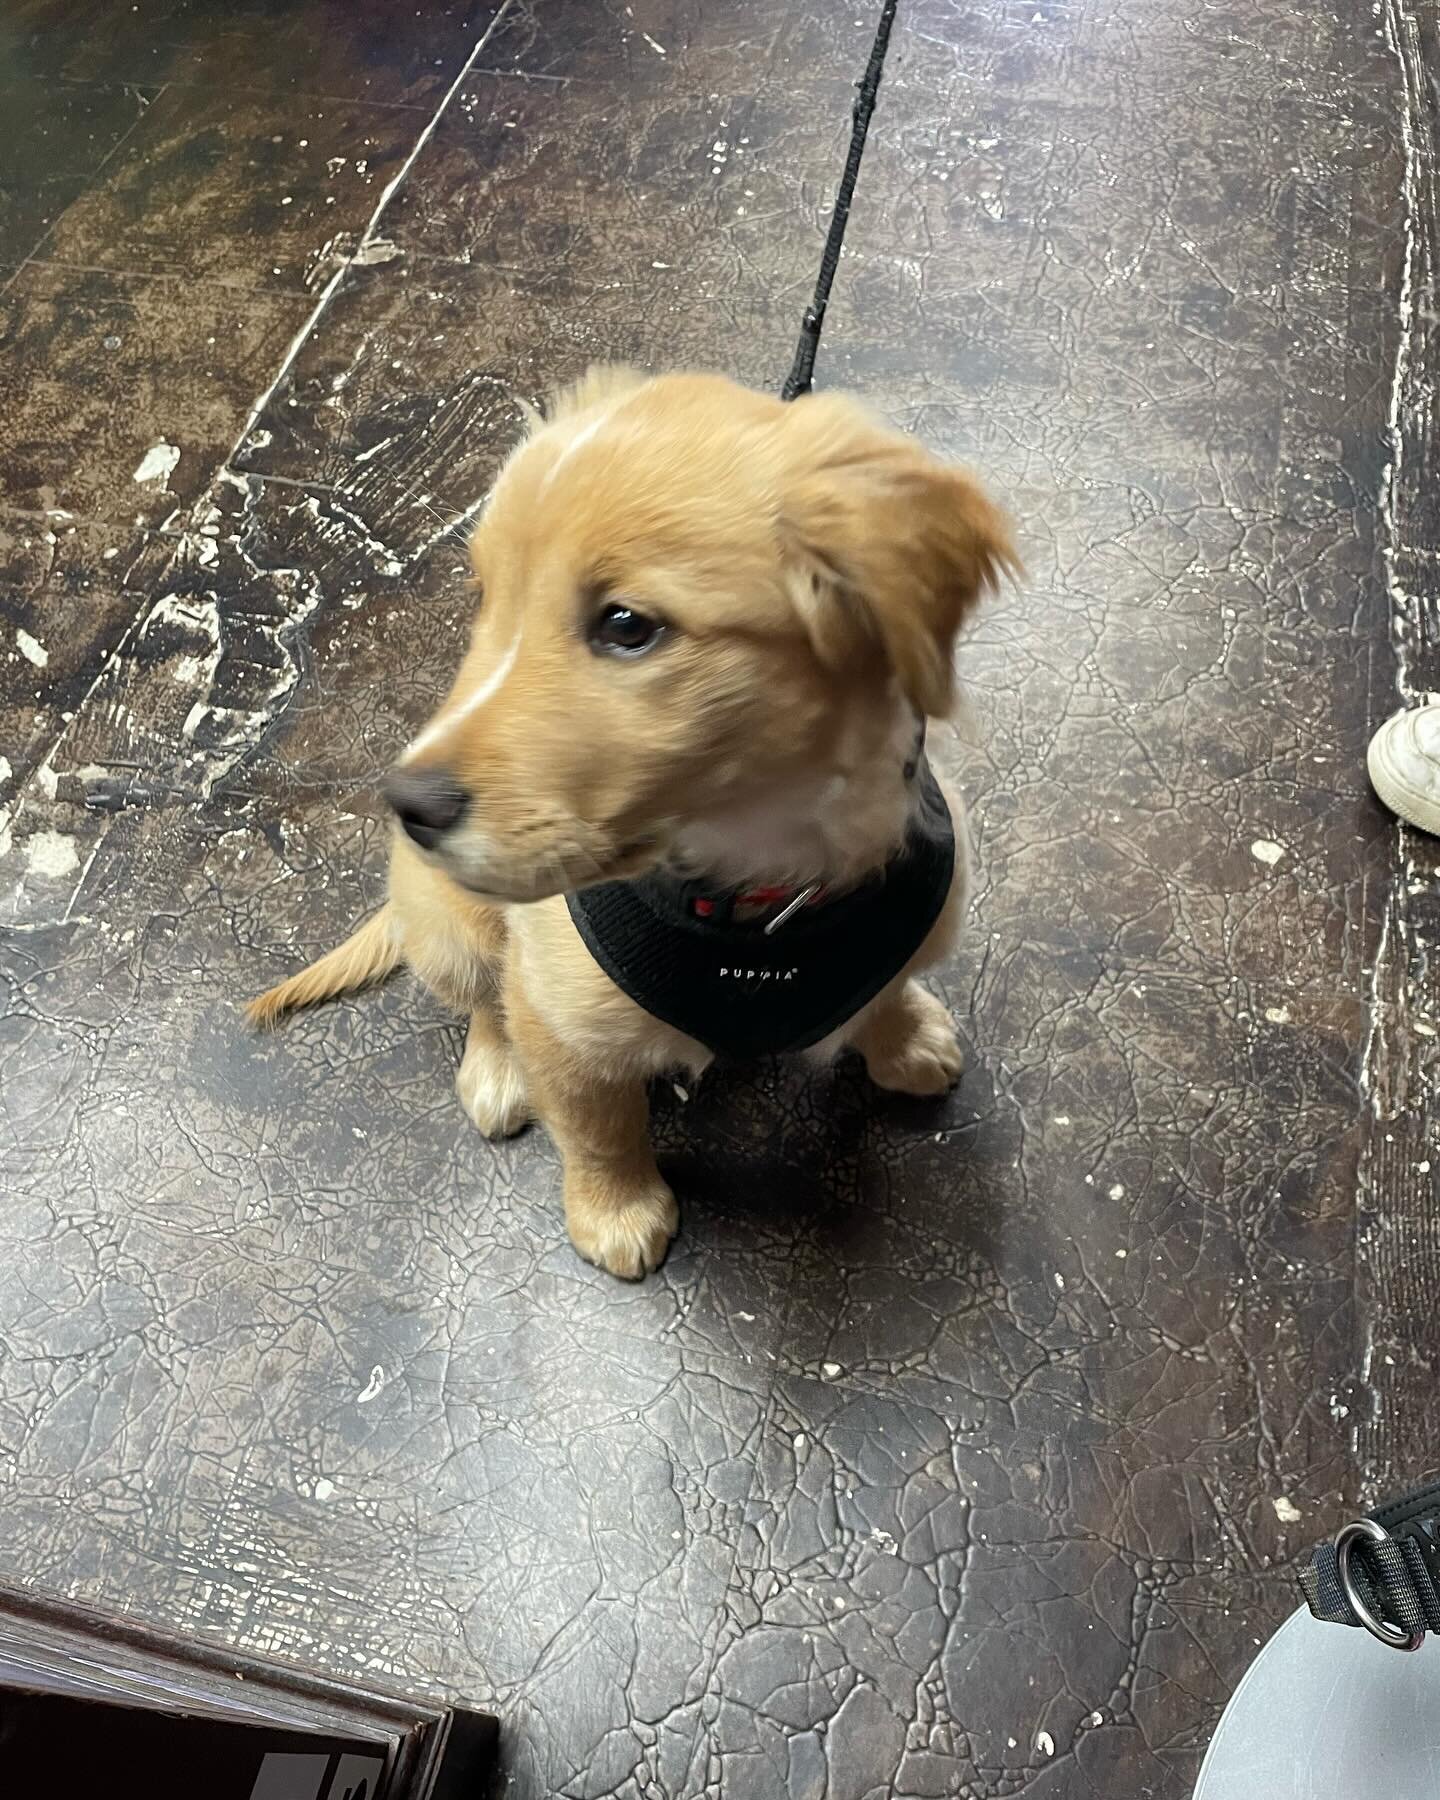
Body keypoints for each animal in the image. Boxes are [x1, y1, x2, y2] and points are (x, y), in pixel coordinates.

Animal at [250, 369, 1015, 1281]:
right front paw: (614, 1210)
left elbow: (887, 986)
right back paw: (495, 1070)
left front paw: (903, 1039)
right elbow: (597, 1125)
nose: (408, 805)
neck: (757, 891)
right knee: (482, 999)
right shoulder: (561, 1020)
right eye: (486, 599)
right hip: (450, 926)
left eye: (625, 626)